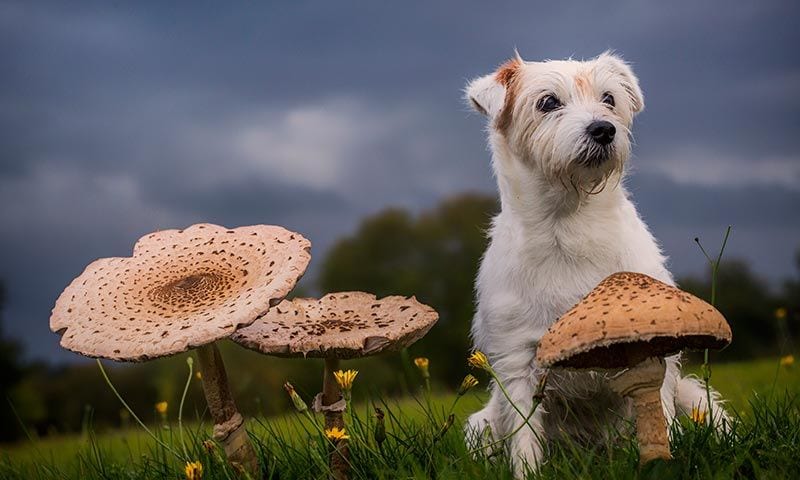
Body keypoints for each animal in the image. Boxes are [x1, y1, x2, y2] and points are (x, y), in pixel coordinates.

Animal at [466, 52, 728, 476]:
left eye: (609, 99)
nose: (604, 129)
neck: (568, 224)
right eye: (548, 102)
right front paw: (527, 472)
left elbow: (661, 415)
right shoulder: (516, 363)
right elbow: (524, 440)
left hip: (698, 398)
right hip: (482, 425)